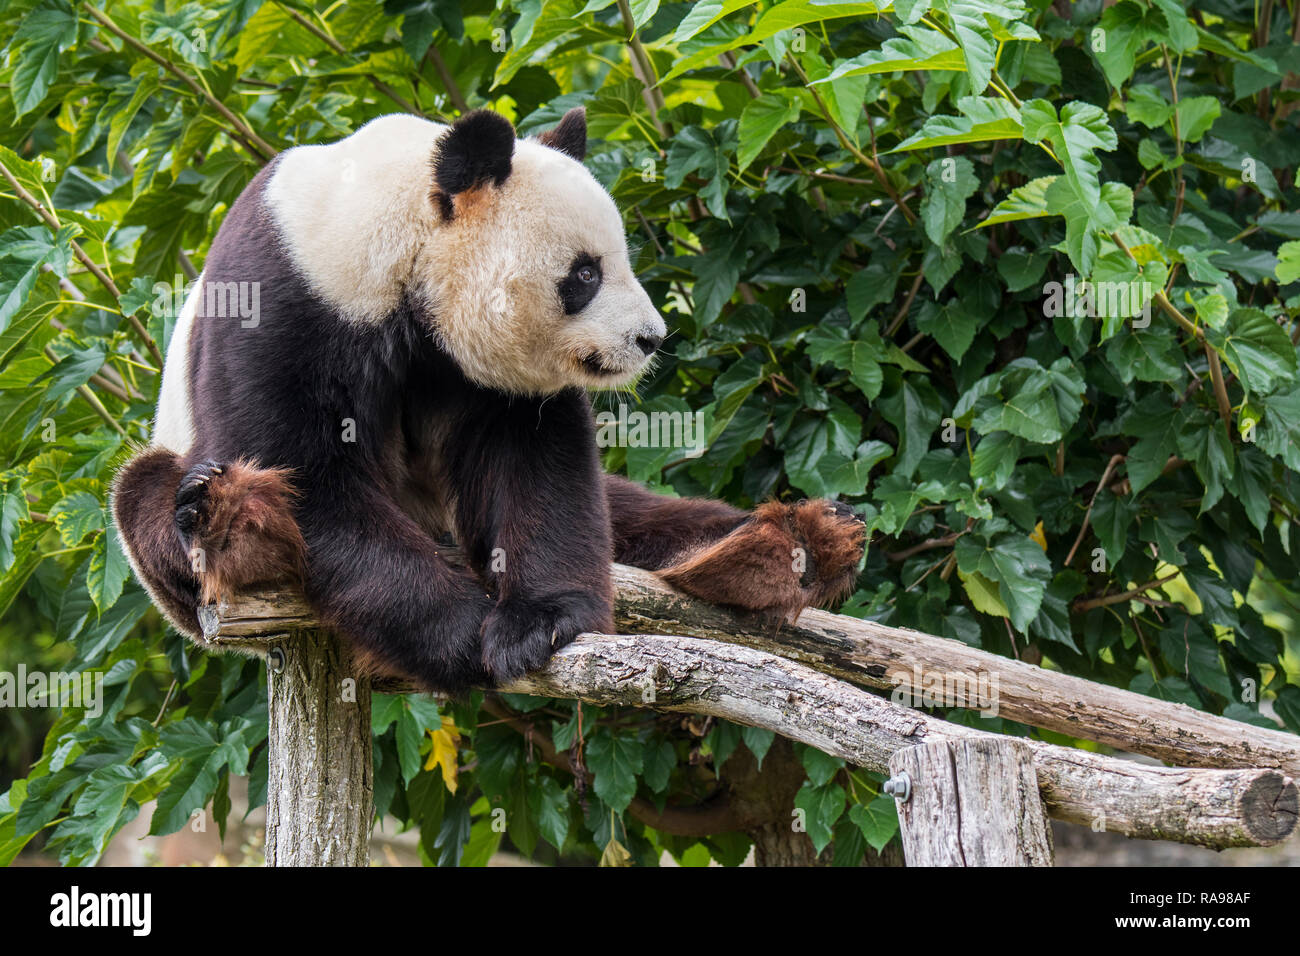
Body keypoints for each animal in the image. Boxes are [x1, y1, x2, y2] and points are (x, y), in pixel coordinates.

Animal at [109, 108, 863, 691]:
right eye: (584, 274)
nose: (650, 338)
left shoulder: (491, 374)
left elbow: (537, 464)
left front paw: (539, 624)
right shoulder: (282, 300)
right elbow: (306, 476)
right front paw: (466, 634)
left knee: (640, 515)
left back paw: (783, 548)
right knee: (149, 496)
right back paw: (233, 524)